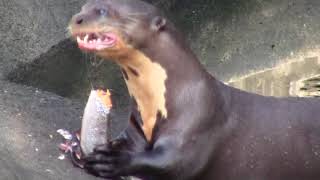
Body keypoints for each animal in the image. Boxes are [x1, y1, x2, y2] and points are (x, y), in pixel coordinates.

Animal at [69, 0, 320, 180]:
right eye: (83, 7)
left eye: (102, 10)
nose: (76, 18)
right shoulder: (138, 126)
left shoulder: (198, 122)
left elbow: (173, 163)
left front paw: (113, 162)